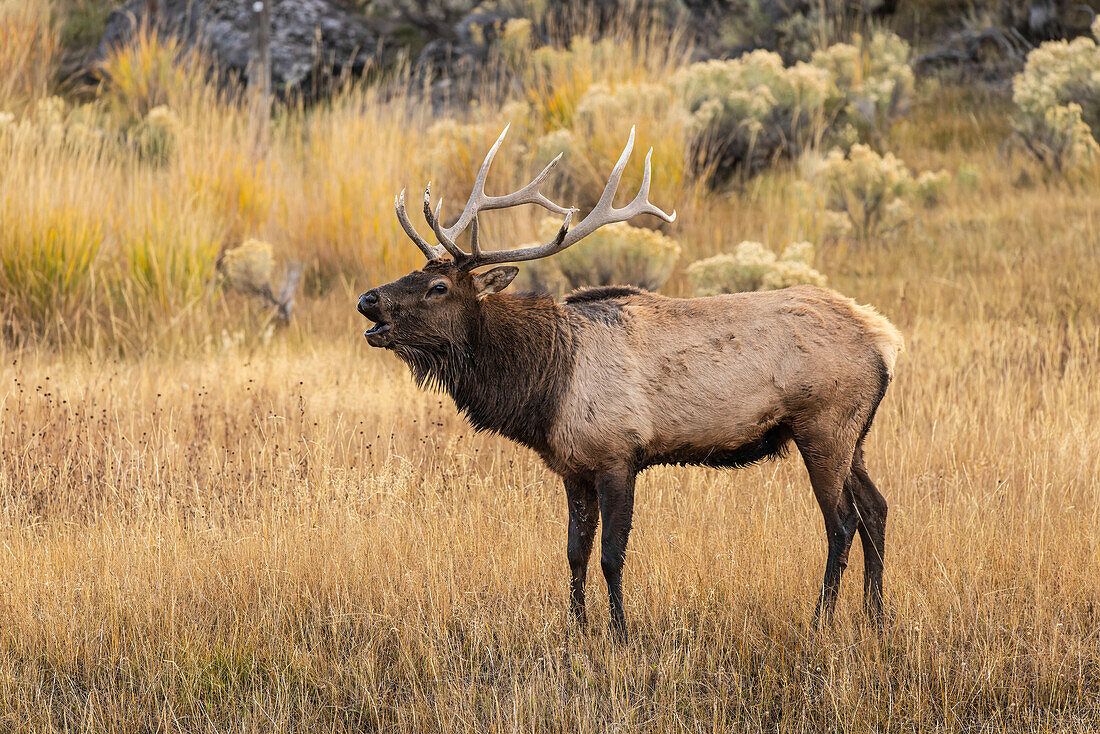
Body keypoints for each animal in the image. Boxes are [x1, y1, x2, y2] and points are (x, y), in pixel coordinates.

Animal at [358, 123, 902, 638]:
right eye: (412, 273)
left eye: (438, 286)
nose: (368, 300)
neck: (544, 386)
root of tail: (886, 339)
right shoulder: (572, 466)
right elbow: (574, 552)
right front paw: (576, 627)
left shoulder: (618, 454)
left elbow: (611, 554)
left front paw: (620, 632)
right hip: (853, 434)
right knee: (876, 509)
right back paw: (877, 617)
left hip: (824, 425)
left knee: (843, 522)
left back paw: (822, 619)